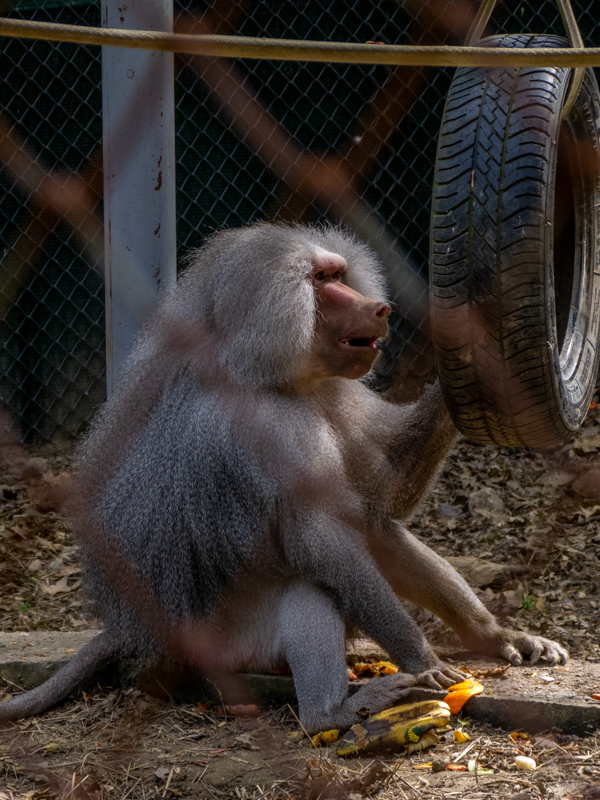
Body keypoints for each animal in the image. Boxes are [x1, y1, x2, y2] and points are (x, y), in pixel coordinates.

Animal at [0, 223, 567, 734]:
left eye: (338, 274)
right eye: (320, 280)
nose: (378, 309)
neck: (266, 372)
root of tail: (139, 633)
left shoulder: (330, 393)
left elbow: (383, 498)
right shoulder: (269, 427)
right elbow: (317, 540)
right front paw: (422, 660)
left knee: (373, 527)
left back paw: (494, 638)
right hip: (228, 644)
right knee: (311, 582)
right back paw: (332, 714)